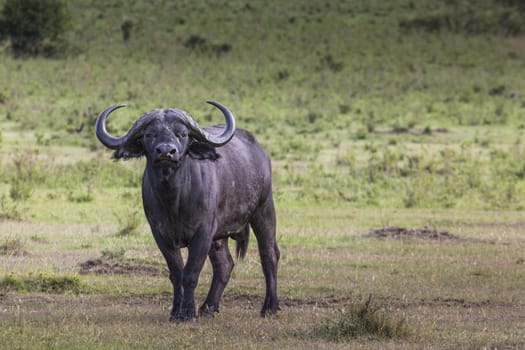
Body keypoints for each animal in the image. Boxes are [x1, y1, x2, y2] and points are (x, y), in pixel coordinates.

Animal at [96, 101, 280, 322]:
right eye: (149, 134)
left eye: (182, 134)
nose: (166, 152)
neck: (174, 200)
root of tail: (260, 151)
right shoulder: (161, 234)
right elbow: (176, 274)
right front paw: (176, 312)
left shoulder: (203, 232)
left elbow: (191, 273)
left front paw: (188, 313)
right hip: (219, 236)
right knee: (225, 264)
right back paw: (208, 307)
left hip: (264, 210)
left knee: (269, 255)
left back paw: (270, 307)